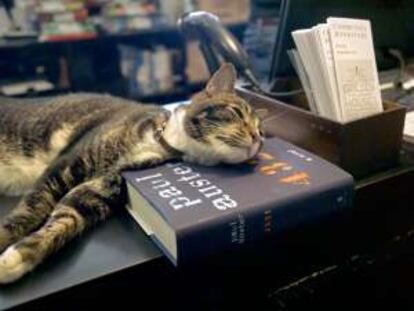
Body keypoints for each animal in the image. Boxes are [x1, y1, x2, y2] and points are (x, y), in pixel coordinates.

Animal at [0, 64, 262, 286]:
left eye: (261, 131)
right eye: (237, 112)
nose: (257, 138)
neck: (160, 143)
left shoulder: (102, 188)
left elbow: (68, 217)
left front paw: (17, 258)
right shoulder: (65, 164)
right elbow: (32, 209)